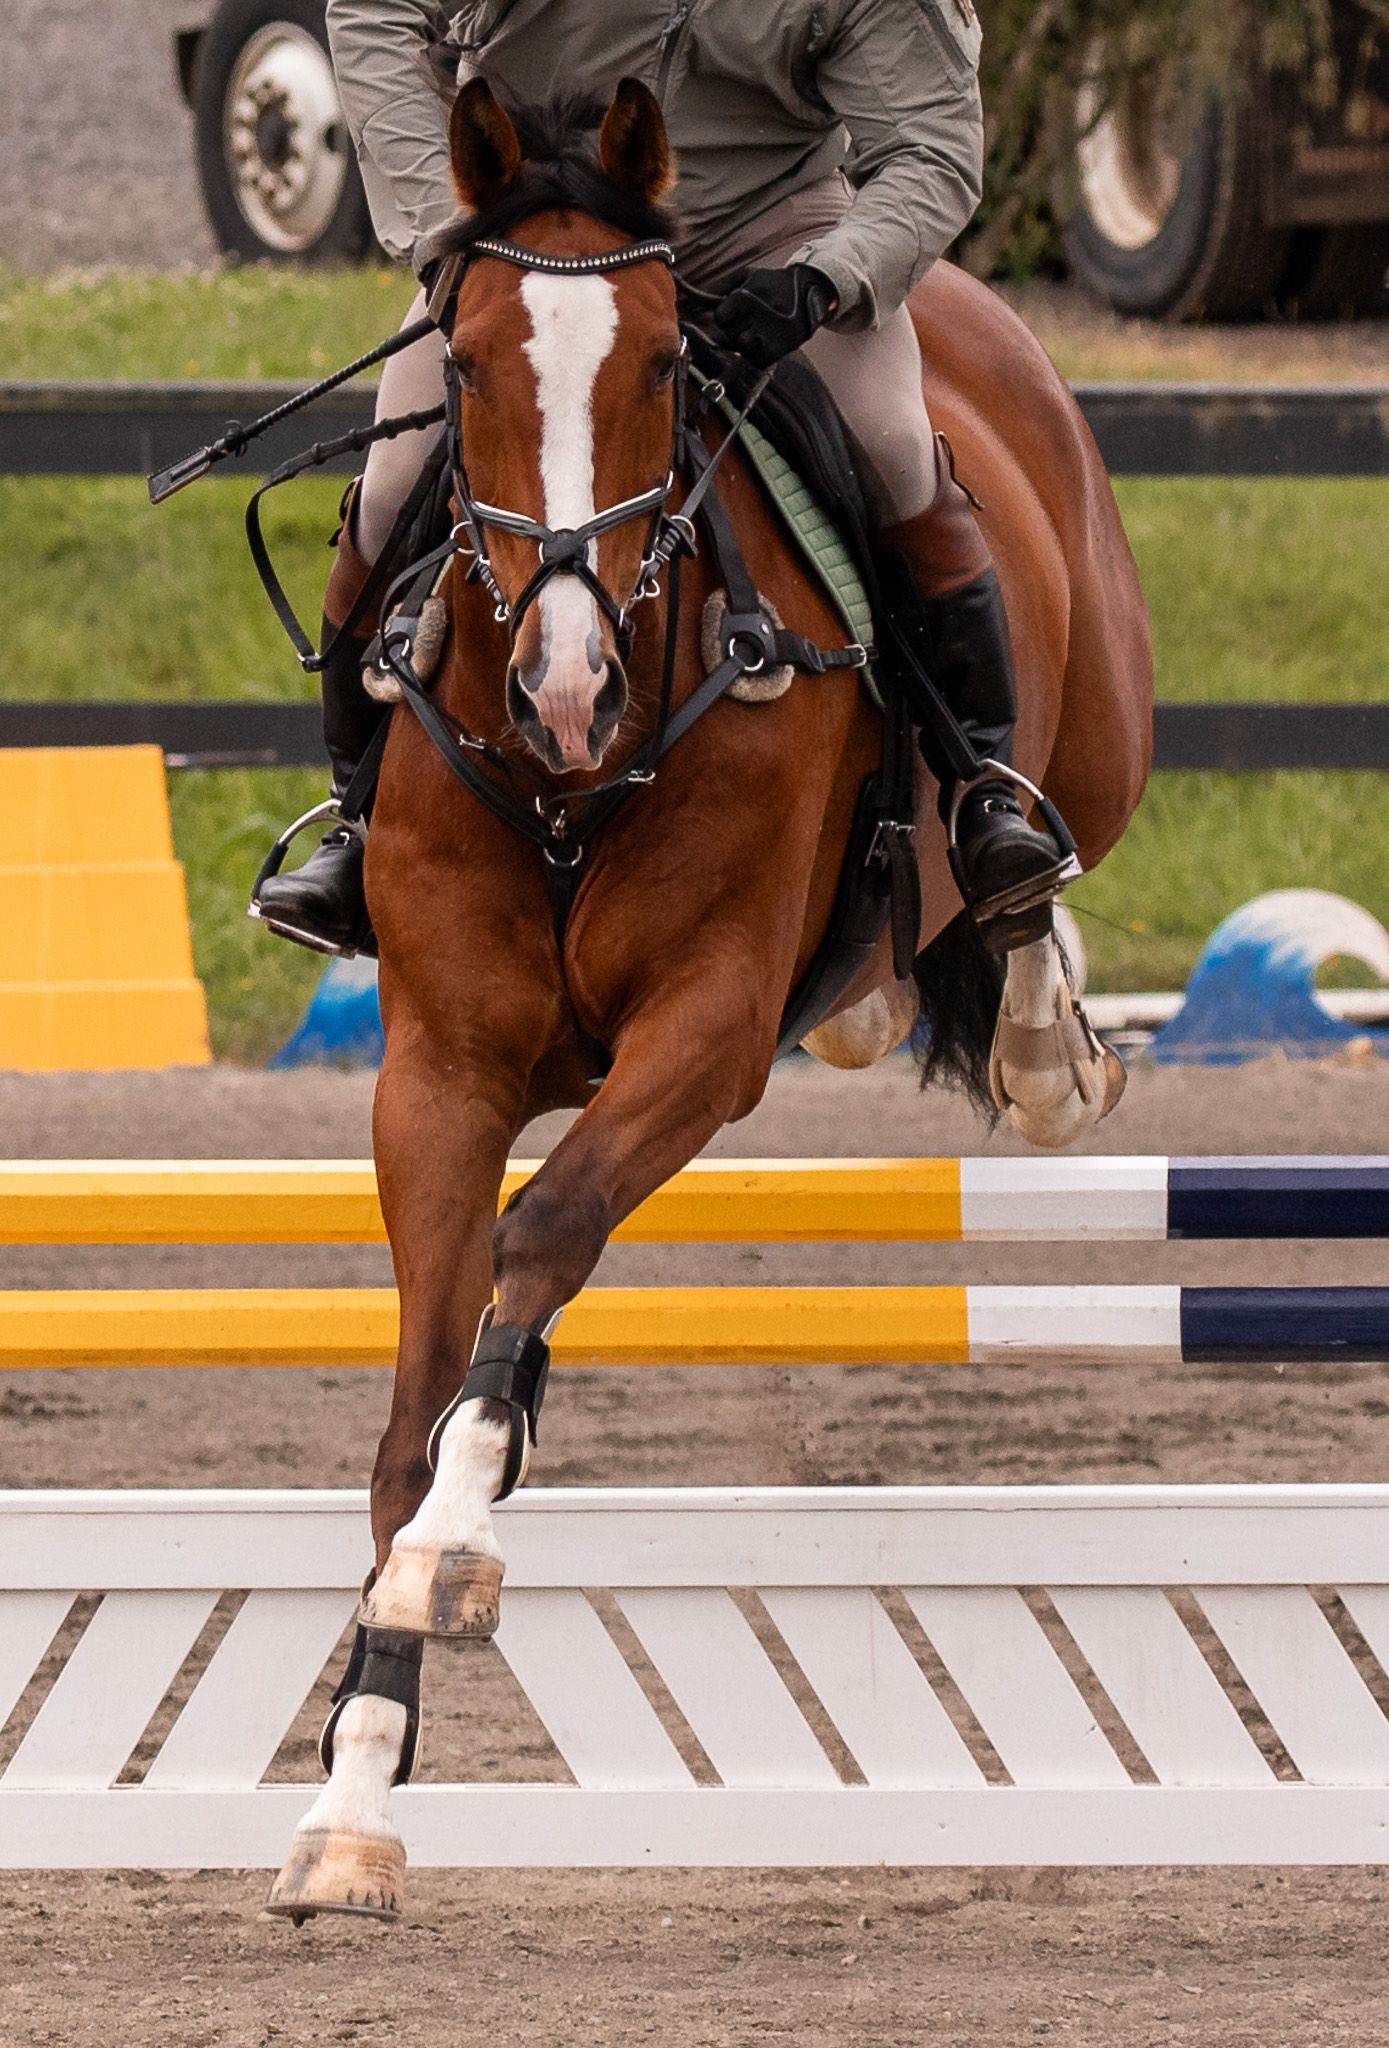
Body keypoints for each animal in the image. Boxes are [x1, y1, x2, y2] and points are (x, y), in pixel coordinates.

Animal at [266, 77, 1152, 1921]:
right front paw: (355, 1789)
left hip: (1092, 726)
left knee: (1031, 862)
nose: (566, 684)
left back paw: (1037, 1019)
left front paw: (449, 1556)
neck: (569, 782)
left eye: (669, 367)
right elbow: (422, 1392)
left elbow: (540, 1240)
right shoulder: (441, 1071)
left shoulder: (704, 1032)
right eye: (465, 368)